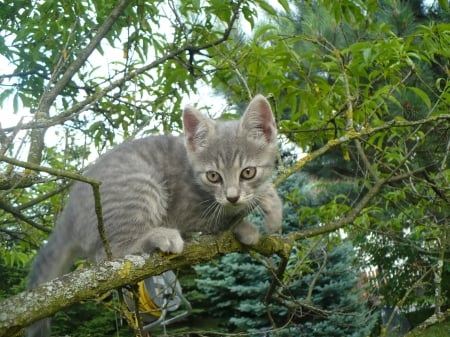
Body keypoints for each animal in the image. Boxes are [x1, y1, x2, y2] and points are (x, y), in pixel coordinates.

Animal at [26, 94, 282, 336]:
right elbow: (222, 217)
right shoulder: (188, 210)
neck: (191, 170)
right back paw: (159, 237)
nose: (232, 196)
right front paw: (248, 224)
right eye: (213, 176)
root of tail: (69, 213)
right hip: (142, 184)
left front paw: (271, 204)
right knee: (112, 253)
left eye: (248, 172)